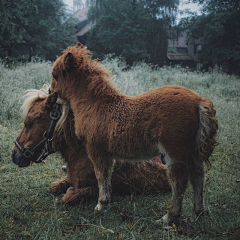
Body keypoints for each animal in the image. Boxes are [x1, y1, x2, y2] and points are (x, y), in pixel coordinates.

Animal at [10, 86, 169, 204]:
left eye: (28, 123)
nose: (14, 154)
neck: (82, 153)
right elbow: (54, 186)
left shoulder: (98, 188)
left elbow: (68, 197)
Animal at [49, 42, 218, 223]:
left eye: (55, 75)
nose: (50, 92)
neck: (95, 105)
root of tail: (198, 101)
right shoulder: (108, 154)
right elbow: (107, 176)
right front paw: (106, 202)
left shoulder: (96, 149)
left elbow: (100, 176)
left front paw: (101, 205)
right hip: (192, 151)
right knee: (198, 177)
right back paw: (197, 212)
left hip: (174, 152)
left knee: (179, 181)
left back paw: (169, 217)